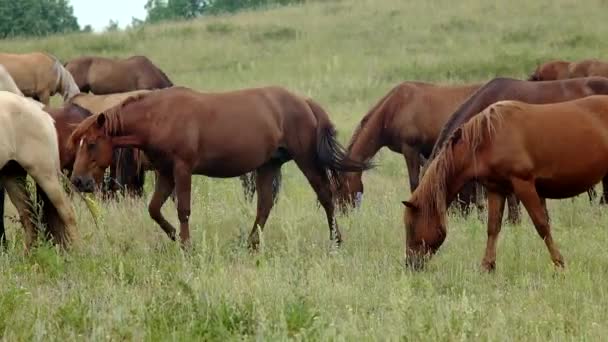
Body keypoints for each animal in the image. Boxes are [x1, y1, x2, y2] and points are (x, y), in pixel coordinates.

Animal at [0, 91, 78, 251]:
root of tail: (43, 113)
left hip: (45, 174)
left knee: (67, 212)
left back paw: (78, 251)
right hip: (12, 177)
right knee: (28, 216)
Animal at [66, 86, 370, 248]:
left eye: (91, 144)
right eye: (77, 144)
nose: (78, 181)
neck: (159, 117)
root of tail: (304, 102)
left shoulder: (182, 169)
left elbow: (183, 210)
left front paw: (187, 246)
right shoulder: (166, 172)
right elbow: (154, 209)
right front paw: (174, 237)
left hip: (306, 160)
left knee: (325, 196)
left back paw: (336, 240)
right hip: (268, 165)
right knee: (264, 205)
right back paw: (251, 244)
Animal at [404, 95, 608, 272]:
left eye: (411, 226)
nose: (410, 265)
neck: (488, 138)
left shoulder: (524, 185)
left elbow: (542, 225)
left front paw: (559, 263)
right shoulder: (496, 189)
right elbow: (493, 227)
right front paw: (487, 266)